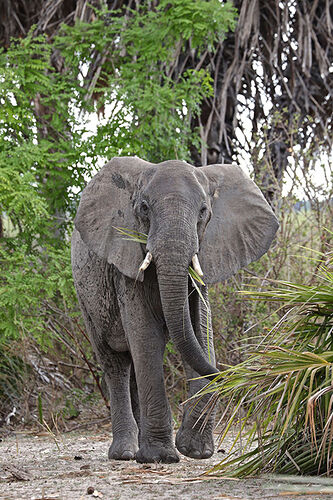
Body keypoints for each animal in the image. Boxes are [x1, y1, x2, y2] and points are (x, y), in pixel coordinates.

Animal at [70, 157, 278, 464]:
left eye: (204, 211)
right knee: (115, 363)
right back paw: (125, 453)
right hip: (86, 298)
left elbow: (201, 330)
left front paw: (195, 451)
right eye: (144, 208)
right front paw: (160, 457)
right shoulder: (126, 262)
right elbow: (147, 337)